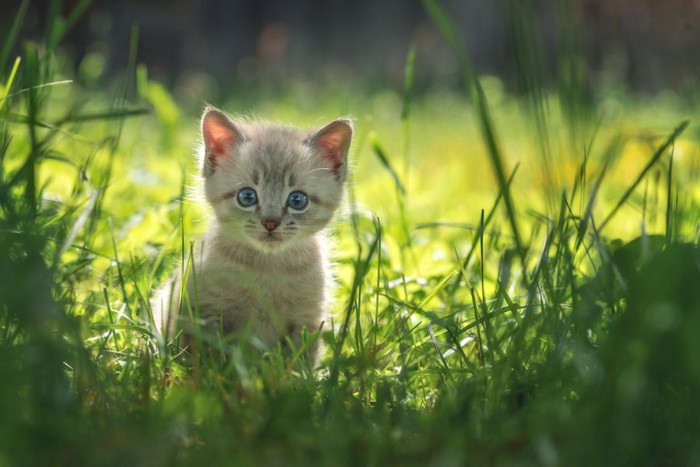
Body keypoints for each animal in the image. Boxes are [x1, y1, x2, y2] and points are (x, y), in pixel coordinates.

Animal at [151, 107, 352, 366]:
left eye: (297, 200)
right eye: (247, 197)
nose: (270, 222)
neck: (267, 268)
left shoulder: (307, 320)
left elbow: (298, 364)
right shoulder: (201, 311)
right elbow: (204, 359)